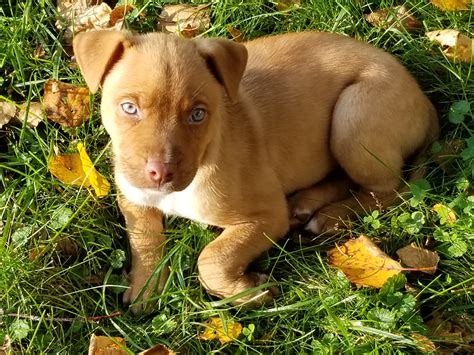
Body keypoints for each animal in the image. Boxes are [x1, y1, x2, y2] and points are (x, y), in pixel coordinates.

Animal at [72, 31, 438, 312]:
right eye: (128, 108)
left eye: (198, 114)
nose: (160, 173)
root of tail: (423, 99)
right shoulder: (133, 198)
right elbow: (144, 239)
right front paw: (145, 289)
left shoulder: (267, 216)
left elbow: (212, 257)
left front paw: (249, 293)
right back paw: (308, 205)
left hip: (355, 115)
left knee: (391, 188)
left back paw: (331, 217)